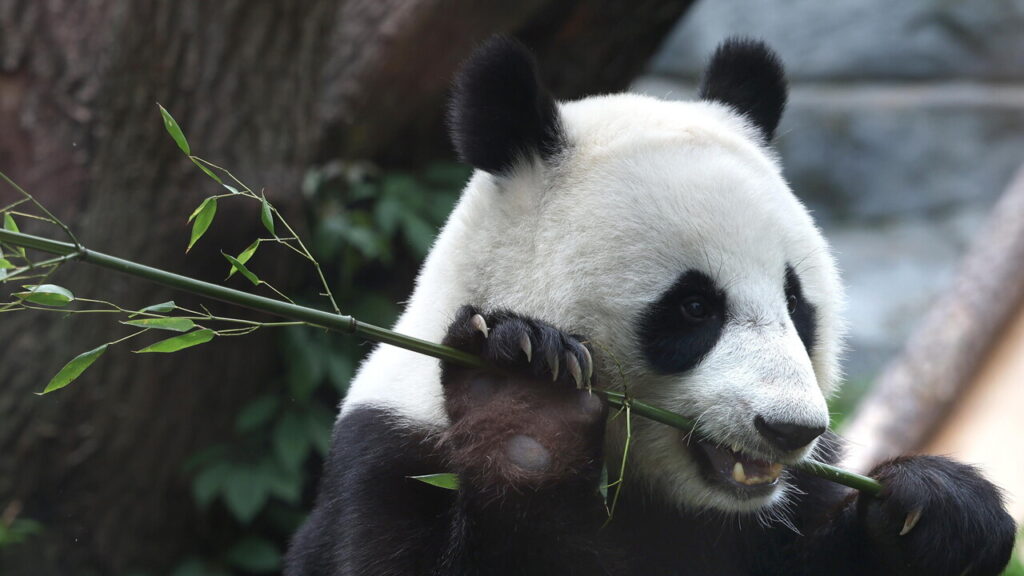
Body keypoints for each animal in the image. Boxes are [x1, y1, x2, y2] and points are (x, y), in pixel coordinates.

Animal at [286, 37, 1016, 575]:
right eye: (694, 307)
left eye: (796, 302)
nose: (790, 429)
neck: (652, 492)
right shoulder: (391, 454)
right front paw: (526, 405)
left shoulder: (787, 503)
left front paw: (940, 513)